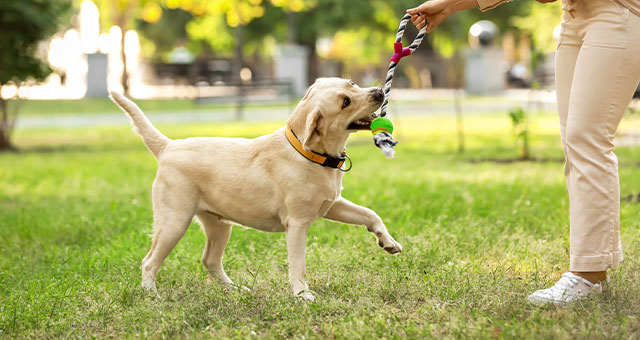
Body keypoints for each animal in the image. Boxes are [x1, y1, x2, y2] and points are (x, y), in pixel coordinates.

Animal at [109, 78, 400, 302]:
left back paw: (235, 290)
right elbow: (298, 264)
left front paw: (388, 242)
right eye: (345, 102)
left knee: (210, 260)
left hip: (219, 225)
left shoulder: (332, 205)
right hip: (174, 221)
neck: (308, 153)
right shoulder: (297, 224)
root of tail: (169, 146)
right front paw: (302, 295)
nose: (379, 91)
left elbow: (370, 214)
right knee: (149, 261)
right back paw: (151, 295)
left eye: (351, 84)